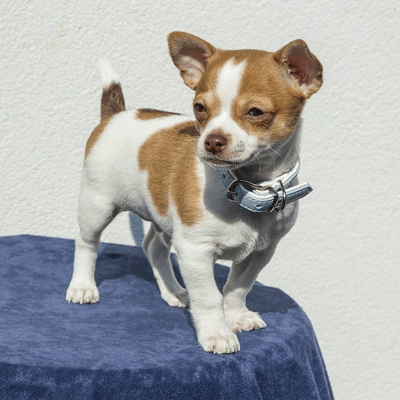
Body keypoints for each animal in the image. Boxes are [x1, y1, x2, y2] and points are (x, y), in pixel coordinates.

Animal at [65, 32, 322, 354]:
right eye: (200, 107)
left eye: (255, 112)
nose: (212, 141)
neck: (246, 186)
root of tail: (115, 115)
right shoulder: (195, 251)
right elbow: (210, 297)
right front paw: (217, 333)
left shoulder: (260, 252)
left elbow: (238, 288)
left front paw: (236, 317)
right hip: (97, 204)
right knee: (87, 243)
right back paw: (82, 286)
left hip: (162, 217)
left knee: (153, 248)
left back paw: (173, 291)